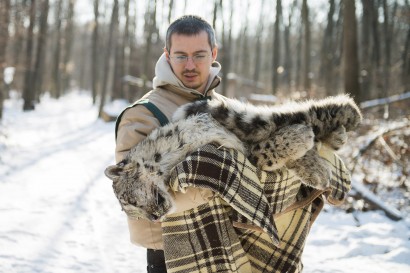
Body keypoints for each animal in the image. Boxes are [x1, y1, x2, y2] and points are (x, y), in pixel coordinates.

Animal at [105, 95, 362, 221]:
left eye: (130, 201)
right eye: (133, 213)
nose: (154, 219)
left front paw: (312, 158)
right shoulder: (246, 153)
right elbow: (267, 152)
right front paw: (315, 167)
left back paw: (351, 114)